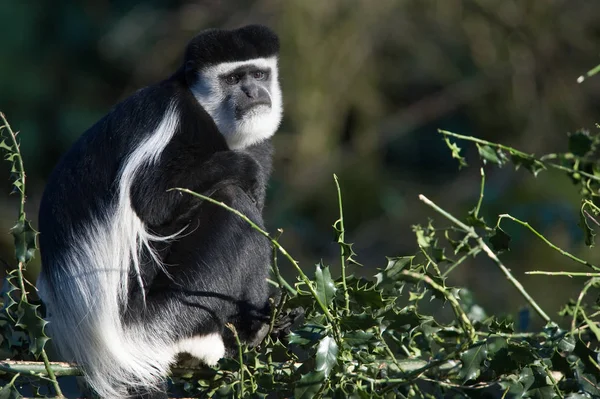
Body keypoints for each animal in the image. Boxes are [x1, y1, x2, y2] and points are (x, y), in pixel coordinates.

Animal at [37, 25, 284, 399]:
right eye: (233, 78)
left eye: (258, 74)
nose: (253, 92)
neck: (208, 113)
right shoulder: (176, 120)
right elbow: (153, 199)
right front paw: (243, 168)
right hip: (164, 313)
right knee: (231, 204)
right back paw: (245, 332)